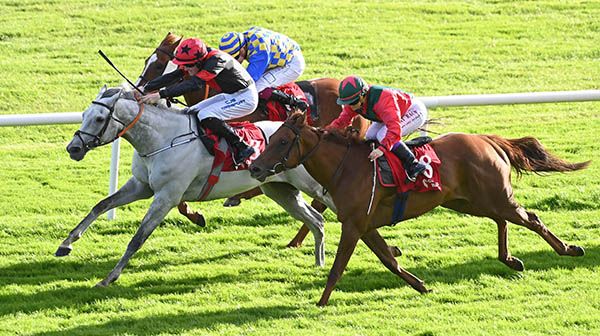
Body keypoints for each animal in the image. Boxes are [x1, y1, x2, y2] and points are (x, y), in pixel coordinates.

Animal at [59, 86, 340, 286]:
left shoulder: (166, 196)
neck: (163, 139)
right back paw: (318, 262)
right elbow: (101, 205)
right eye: (83, 115)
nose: (73, 148)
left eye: (99, 118)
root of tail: (308, 132)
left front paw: (109, 278)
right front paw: (66, 244)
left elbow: (138, 238)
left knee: (332, 208)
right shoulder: (141, 186)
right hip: (280, 191)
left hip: (312, 186)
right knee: (316, 220)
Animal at [250, 111, 592, 306]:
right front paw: (421, 285)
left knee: (530, 218)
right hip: (469, 201)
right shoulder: (364, 226)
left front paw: (321, 302)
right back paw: (510, 259)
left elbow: (337, 268)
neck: (345, 167)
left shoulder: (354, 226)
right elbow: (389, 260)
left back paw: (569, 249)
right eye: (272, 138)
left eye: (282, 141)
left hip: (494, 197)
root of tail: (487, 140)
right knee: (503, 221)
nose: (255, 167)